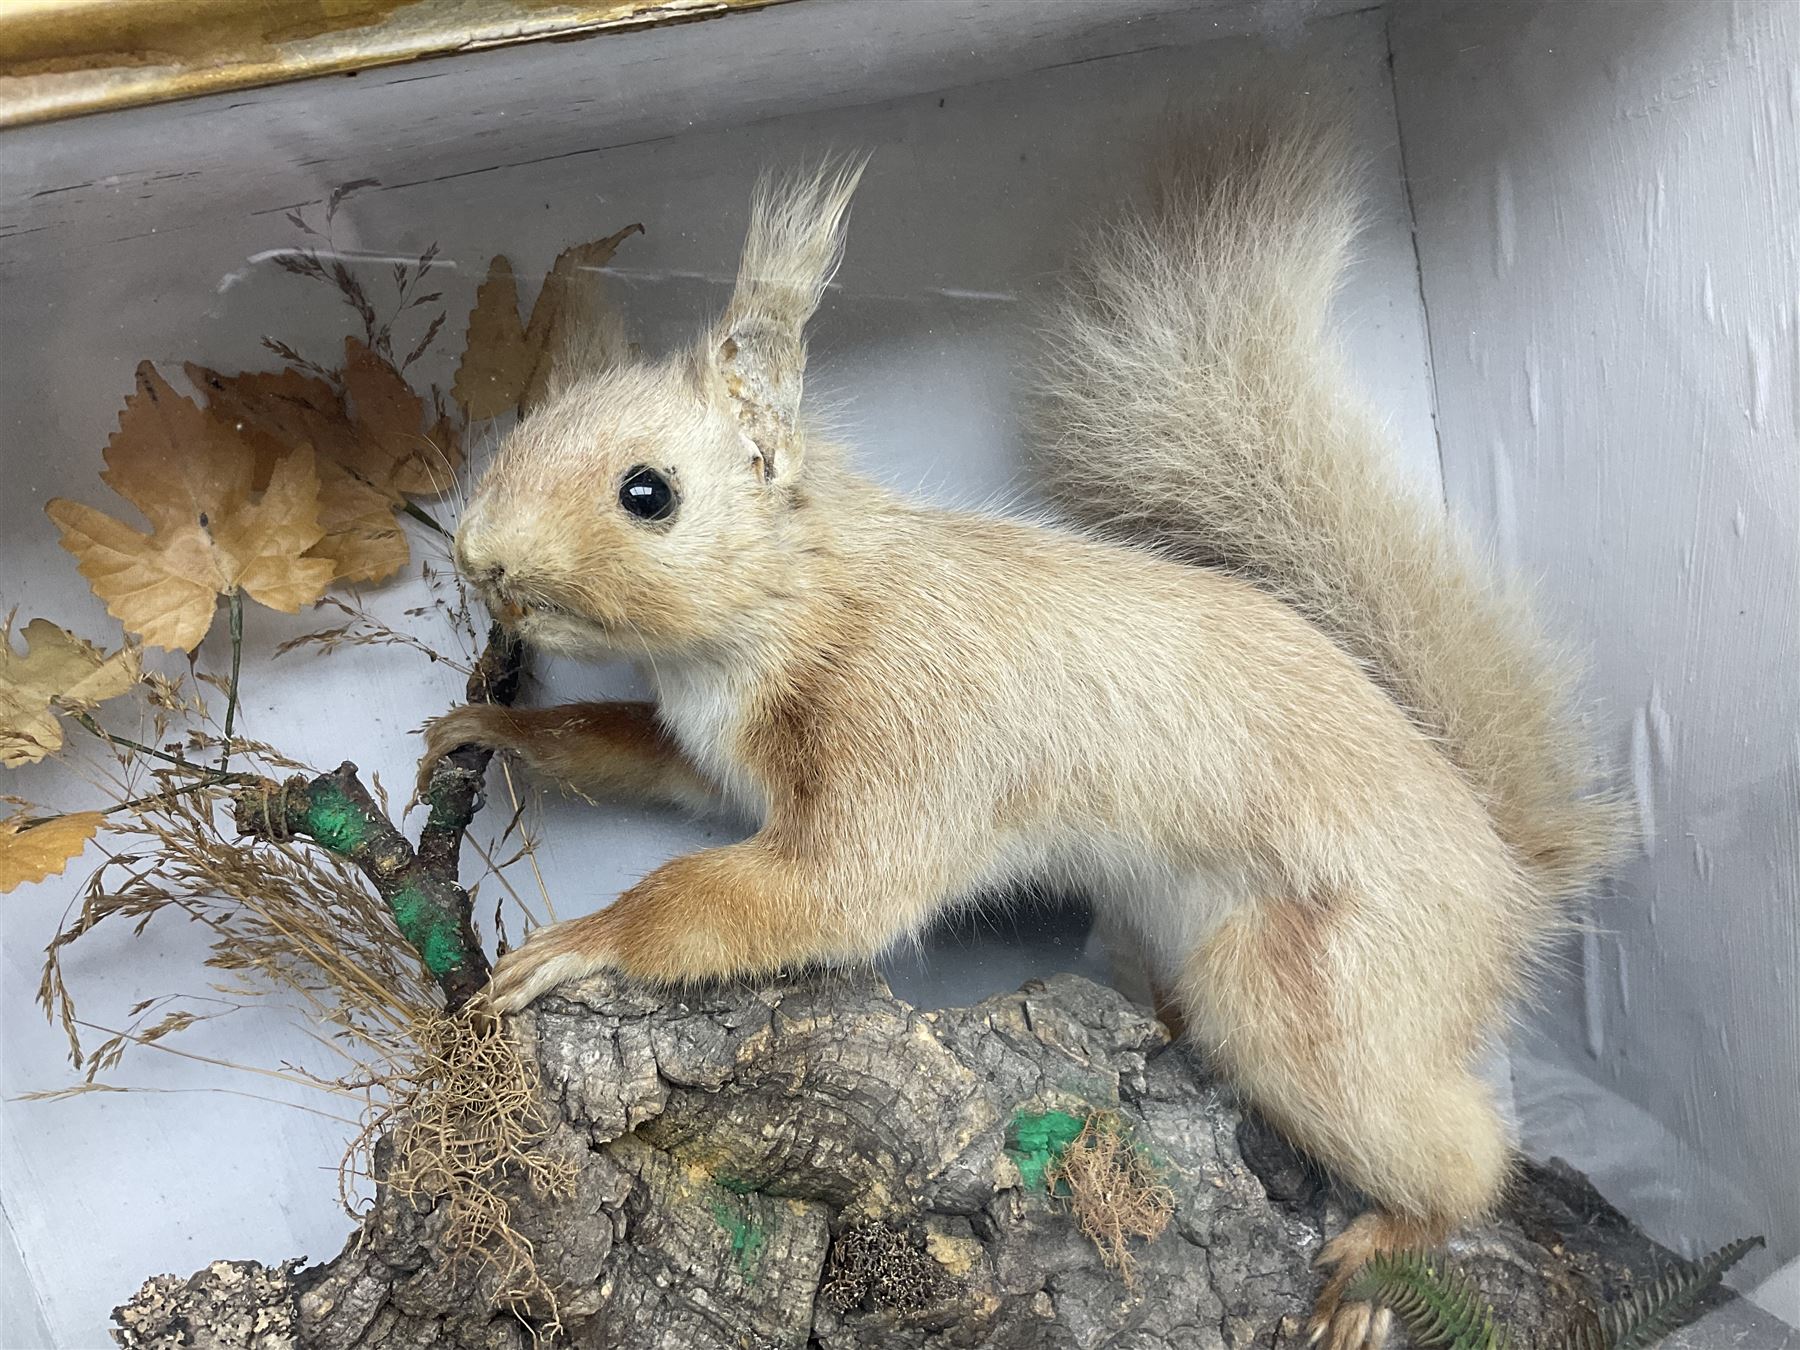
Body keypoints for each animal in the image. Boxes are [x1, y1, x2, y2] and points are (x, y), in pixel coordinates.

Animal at [423, 103, 1623, 1349]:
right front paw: (483, 728)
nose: (477, 556)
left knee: (1460, 1152)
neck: (775, 621)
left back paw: (1392, 1250)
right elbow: (629, 749)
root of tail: (1503, 869)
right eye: (528, 424)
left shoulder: (910, 730)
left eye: (647, 493)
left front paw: (584, 941)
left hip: (1320, 993)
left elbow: (821, 889)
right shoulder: (714, 755)